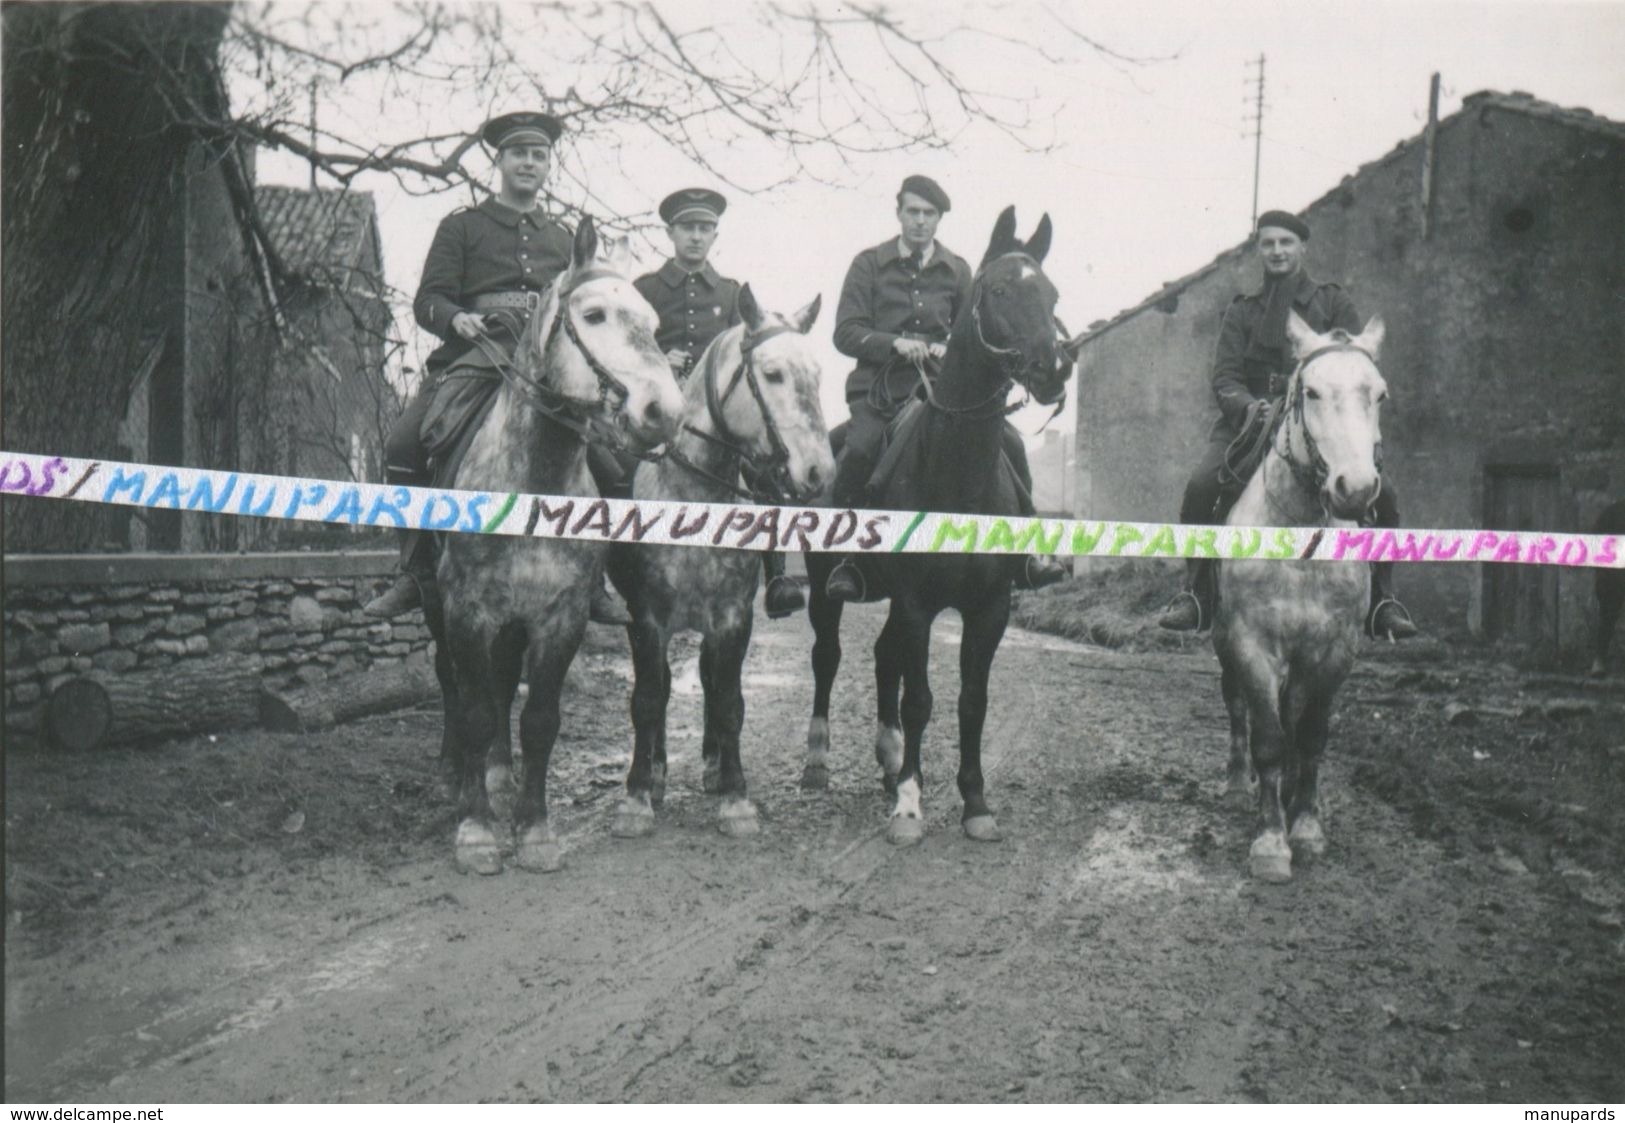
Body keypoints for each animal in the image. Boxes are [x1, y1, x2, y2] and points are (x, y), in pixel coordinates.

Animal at [1215, 312, 1391, 884]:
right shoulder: (1253, 644)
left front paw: (1307, 827)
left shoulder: (1335, 649)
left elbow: (1310, 735)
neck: (1301, 541)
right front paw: (1271, 842)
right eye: (1310, 392)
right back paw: (1238, 784)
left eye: (1379, 394)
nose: (1354, 489)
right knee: (1238, 707)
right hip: (1225, 643)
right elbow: (1269, 739)